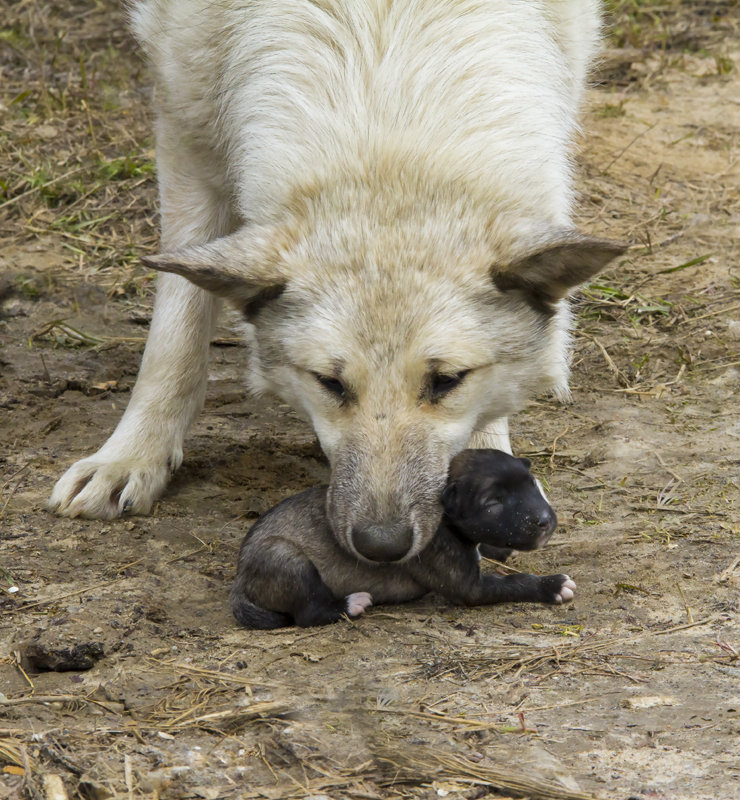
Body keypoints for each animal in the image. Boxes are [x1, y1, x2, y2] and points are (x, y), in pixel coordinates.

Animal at [49, 0, 620, 564]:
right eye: (330, 383)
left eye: (448, 381)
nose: (382, 545)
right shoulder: (186, 133)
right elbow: (176, 336)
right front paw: (129, 459)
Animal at [231, 450, 572, 624]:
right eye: (492, 504)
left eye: (531, 483)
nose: (545, 522)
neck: (444, 517)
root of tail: (240, 578)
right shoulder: (468, 587)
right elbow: (513, 582)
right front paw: (552, 585)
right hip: (284, 557)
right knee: (309, 611)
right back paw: (352, 603)